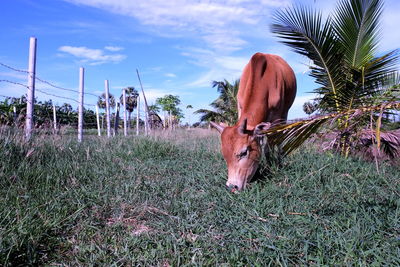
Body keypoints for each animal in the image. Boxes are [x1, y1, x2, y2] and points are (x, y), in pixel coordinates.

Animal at [211, 52, 296, 192]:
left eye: (244, 152)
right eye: (224, 155)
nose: (232, 186)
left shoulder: (277, 116)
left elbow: (271, 143)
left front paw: (271, 165)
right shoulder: (240, 106)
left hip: (285, 113)